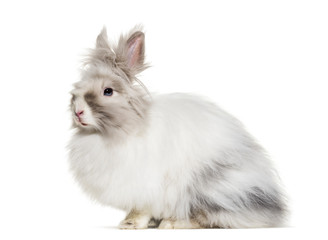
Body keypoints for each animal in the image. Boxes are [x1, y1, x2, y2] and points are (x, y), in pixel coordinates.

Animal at [68, 26, 288, 229]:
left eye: (108, 91)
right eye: (78, 88)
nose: (78, 112)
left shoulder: (146, 185)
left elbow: (141, 209)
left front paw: (130, 224)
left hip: (210, 188)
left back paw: (171, 223)